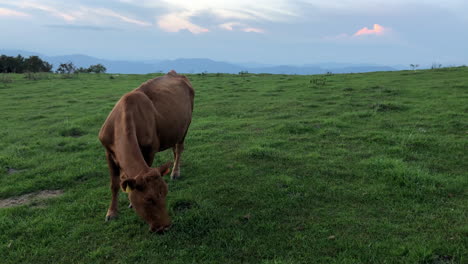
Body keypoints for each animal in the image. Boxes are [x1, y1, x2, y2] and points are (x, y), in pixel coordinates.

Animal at [98, 70, 194, 233]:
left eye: (165, 193)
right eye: (149, 199)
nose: (165, 226)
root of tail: (175, 73)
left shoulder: (150, 150)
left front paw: (129, 203)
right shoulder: (108, 153)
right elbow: (114, 184)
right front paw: (111, 213)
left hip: (185, 126)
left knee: (179, 148)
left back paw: (175, 172)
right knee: (175, 148)